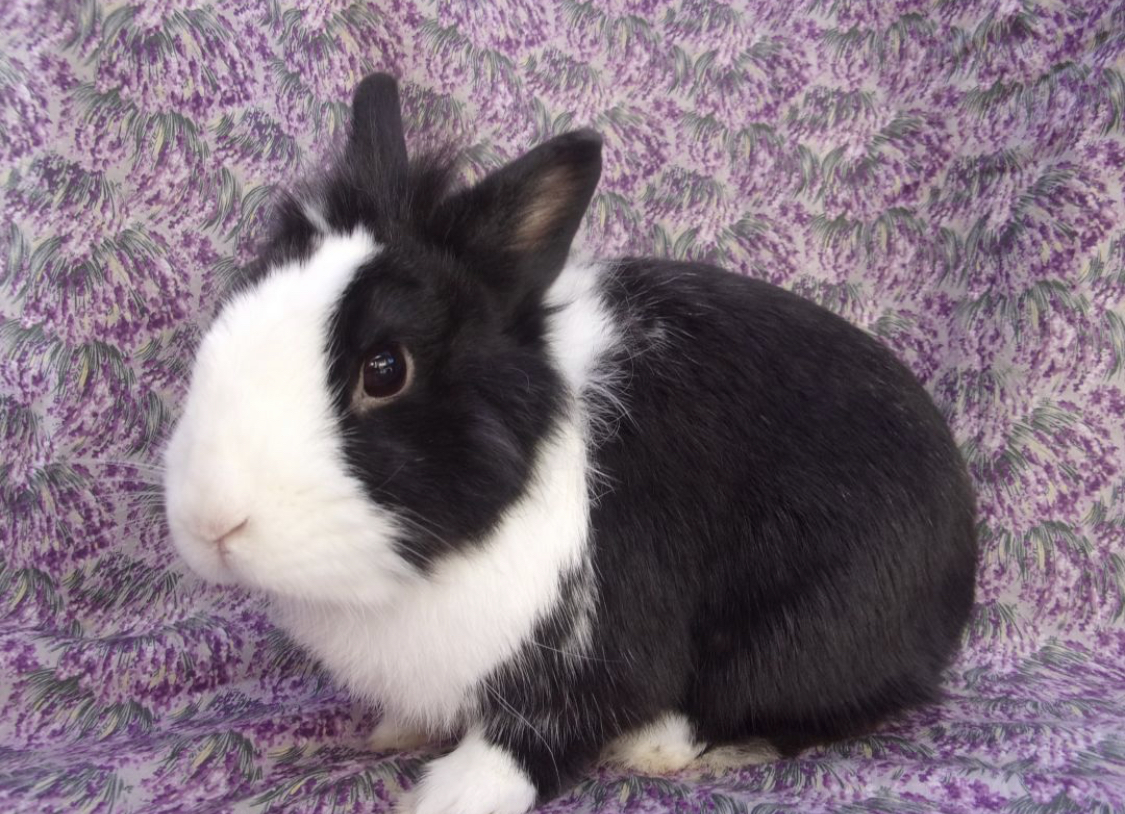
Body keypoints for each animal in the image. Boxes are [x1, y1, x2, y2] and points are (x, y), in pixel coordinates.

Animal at [163, 73, 978, 814]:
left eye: (386, 369)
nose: (212, 524)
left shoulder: (594, 638)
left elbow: (540, 730)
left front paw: (451, 796)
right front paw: (395, 732)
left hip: (809, 632)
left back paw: (660, 745)